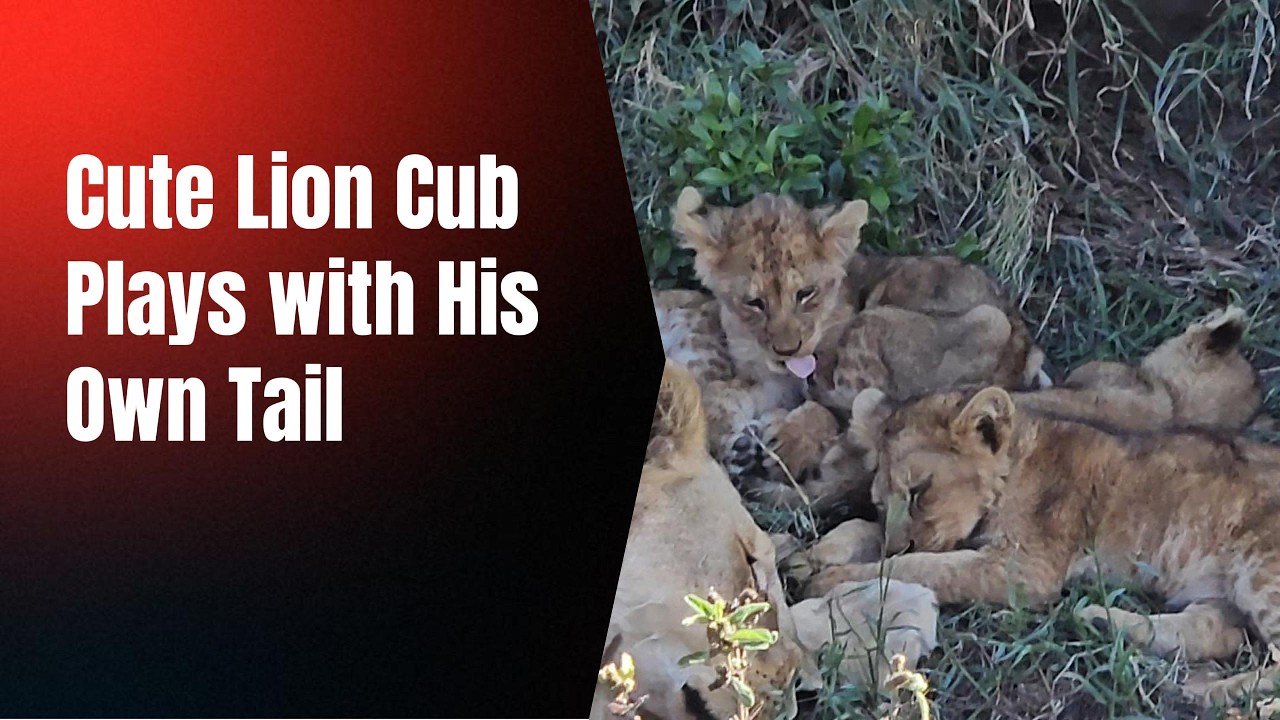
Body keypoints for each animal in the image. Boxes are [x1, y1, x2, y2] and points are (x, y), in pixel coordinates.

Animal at [804, 384, 1280, 706]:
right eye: (880, 504)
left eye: (921, 491)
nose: (898, 545)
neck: (1017, 463)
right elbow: (867, 533)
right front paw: (817, 554)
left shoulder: (1026, 567)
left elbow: (925, 568)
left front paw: (835, 578)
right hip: (1222, 592)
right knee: (1216, 632)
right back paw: (1102, 623)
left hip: (1261, 569)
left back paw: (1218, 692)